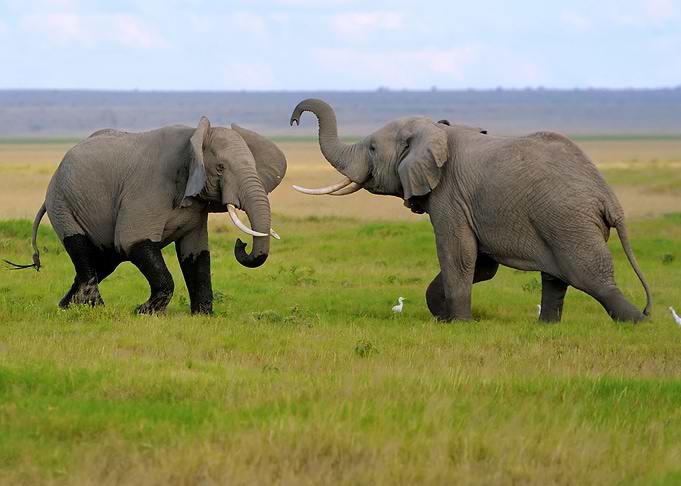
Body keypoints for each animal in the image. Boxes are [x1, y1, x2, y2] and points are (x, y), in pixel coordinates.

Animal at [6, 118, 286, 314]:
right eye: (220, 168)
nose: (241, 244)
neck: (194, 137)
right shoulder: (147, 189)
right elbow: (133, 241)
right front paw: (143, 311)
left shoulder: (195, 206)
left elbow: (195, 253)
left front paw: (203, 315)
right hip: (62, 202)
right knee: (82, 250)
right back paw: (95, 309)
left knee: (103, 261)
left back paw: (66, 308)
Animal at [289, 98, 652, 323]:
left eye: (373, 148)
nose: (294, 120)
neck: (436, 130)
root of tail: (609, 198)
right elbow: (482, 264)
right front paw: (443, 315)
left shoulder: (450, 196)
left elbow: (457, 253)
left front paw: (458, 323)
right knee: (556, 279)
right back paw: (547, 327)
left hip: (569, 220)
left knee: (590, 276)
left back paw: (637, 322)